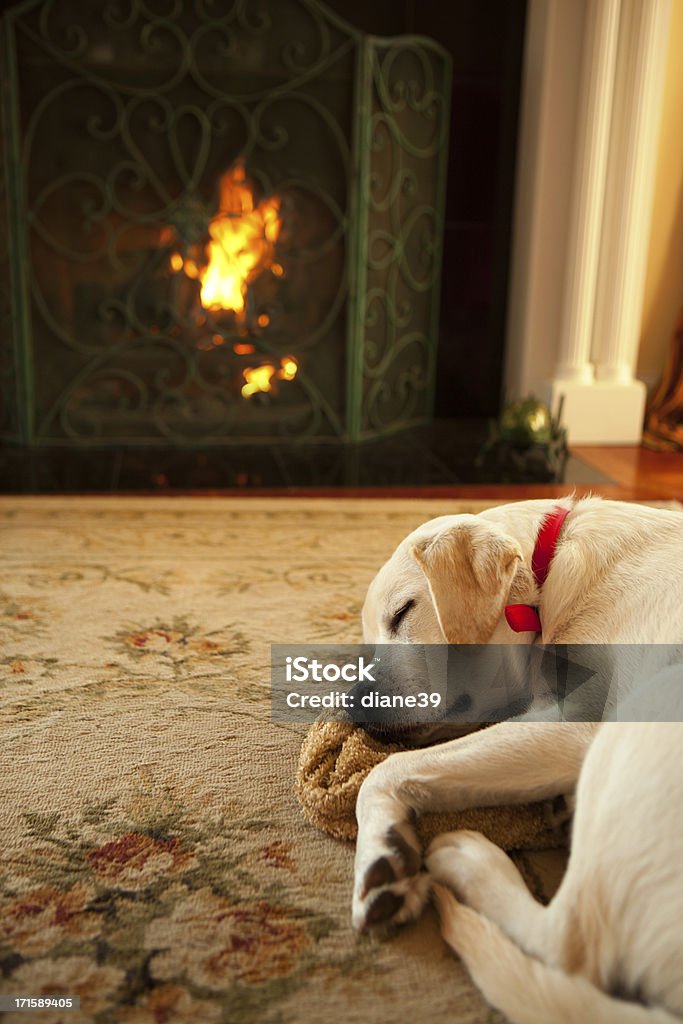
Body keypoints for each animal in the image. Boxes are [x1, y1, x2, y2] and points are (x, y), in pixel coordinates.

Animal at [356, 493, 683, 1015]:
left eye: (403, 612)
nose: (349, 705)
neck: (550, 572)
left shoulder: (575, 725)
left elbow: (381, 773)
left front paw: (380, 856)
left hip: (649, 710)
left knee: (568, 947)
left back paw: (471, 860)